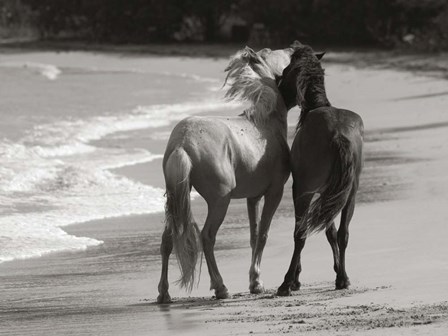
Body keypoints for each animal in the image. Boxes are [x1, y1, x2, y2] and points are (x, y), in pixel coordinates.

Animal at [158, 46, 294, 304]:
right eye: (283, 58)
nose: (294, 46)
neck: (264, 124)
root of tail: (183, 142)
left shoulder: (253, 197)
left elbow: (253, 235)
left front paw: (255, 281)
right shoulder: (274, 192)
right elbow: (263, 234)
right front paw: (256, 283)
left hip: (174, 200)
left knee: (167, 239)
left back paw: (164, 293)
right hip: (220, 202)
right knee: (207, 237)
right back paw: (220, 287)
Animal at [276, 42, 364, 296]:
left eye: (285, 70)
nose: (277, 87)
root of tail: (338, 134)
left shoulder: (303, 188)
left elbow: (305, 231)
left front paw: (295, 279)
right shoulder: (329, 193)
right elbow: (331, 231)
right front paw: (338, 272)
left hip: (305, 192)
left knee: (300, 234)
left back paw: (286, 283)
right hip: (349, 193)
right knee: (344, 233)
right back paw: (343, 279)